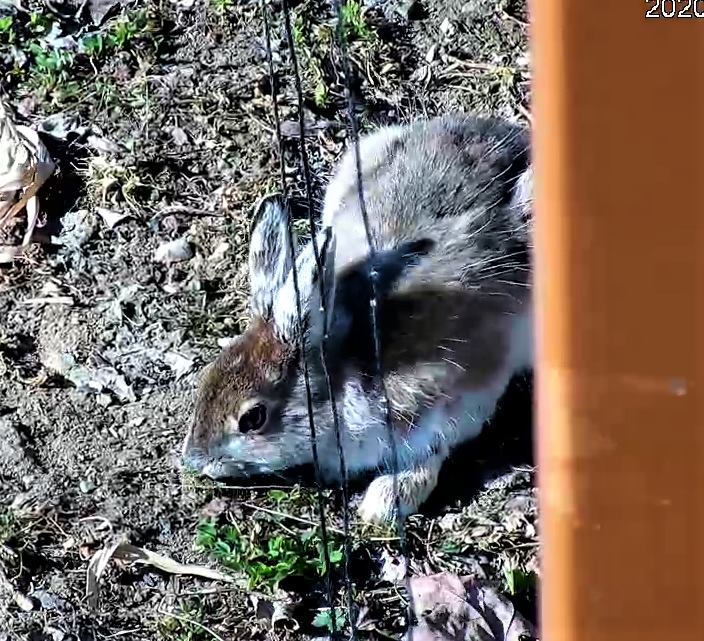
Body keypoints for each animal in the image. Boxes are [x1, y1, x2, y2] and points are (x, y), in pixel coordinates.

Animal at [181, 113, 534, 525]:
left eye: (252, 418)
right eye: (206, 377)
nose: (195, 460)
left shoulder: (455, 397)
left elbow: (433, 449)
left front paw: (383, 504)